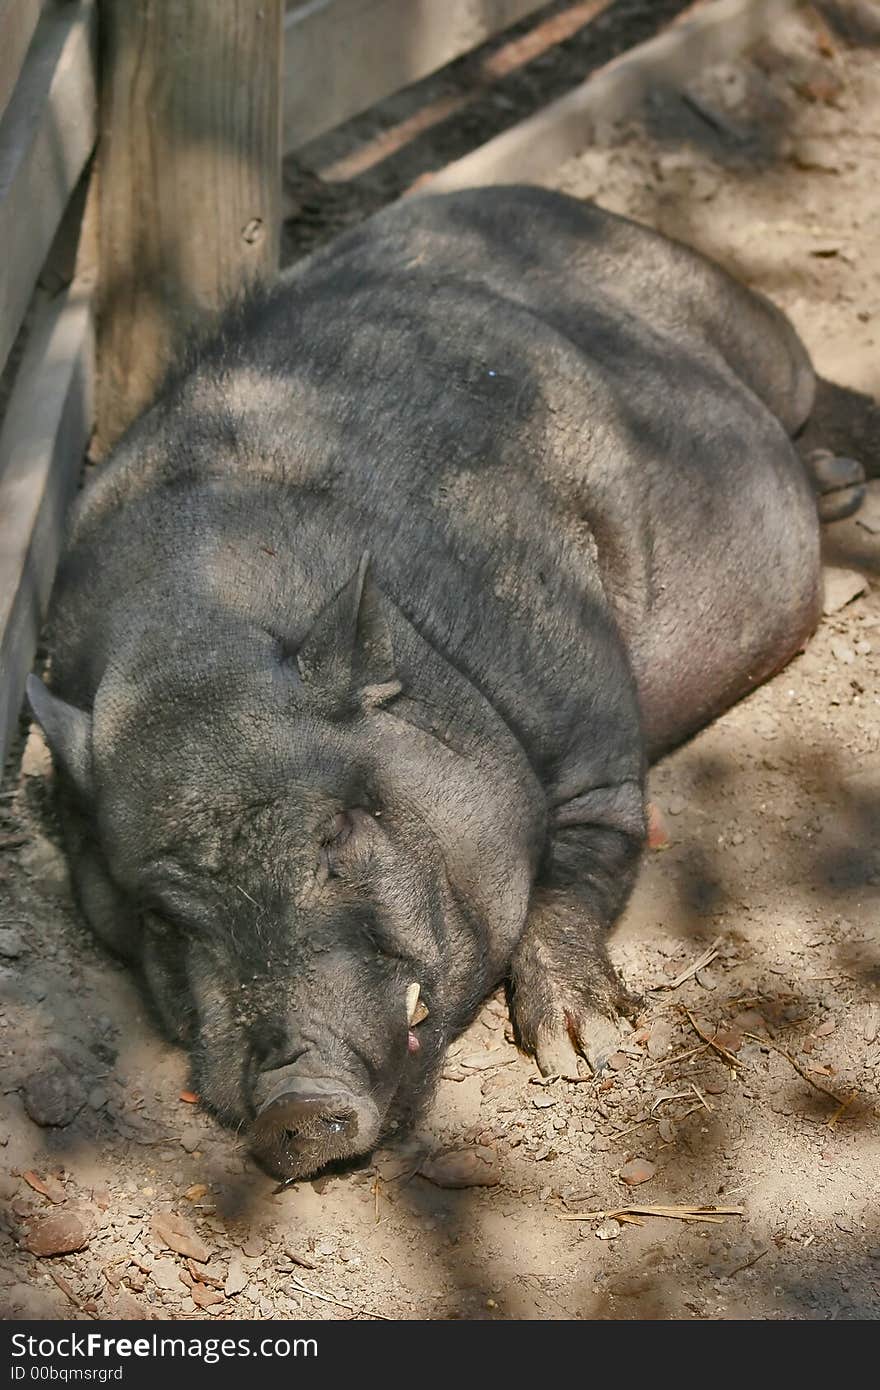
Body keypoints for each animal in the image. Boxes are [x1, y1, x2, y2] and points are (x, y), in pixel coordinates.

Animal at [29, 190, 867, 1178]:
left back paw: (841, 482)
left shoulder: (590, 733)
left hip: (761, 338)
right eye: (162, 916)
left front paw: (583, 1049)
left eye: (338, 834)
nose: (292, 1104)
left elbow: (581, 866)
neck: (203, 607)